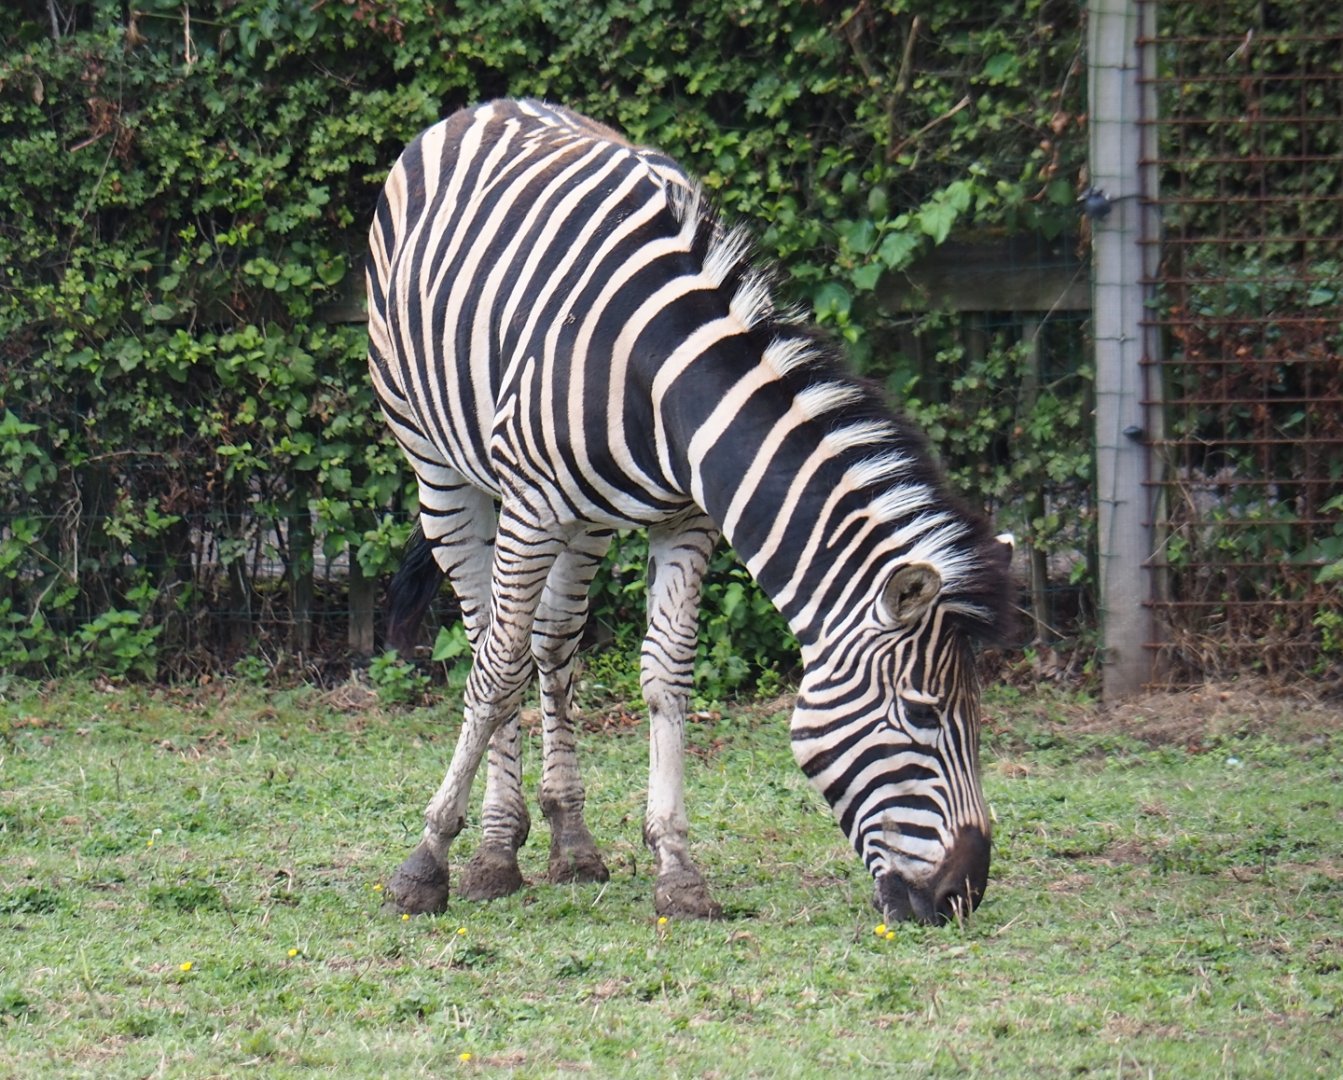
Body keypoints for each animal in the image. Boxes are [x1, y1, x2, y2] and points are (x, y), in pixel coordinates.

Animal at [366, 98, 1014, 924]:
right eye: (925, 713)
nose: (964, 894)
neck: (662, 376)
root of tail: (492, 105)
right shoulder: (533, 506)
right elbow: (493, 673)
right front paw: (427, 860)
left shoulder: (686, 521)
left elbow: (666, 672)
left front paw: (676, 865)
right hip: (441, 468)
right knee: (491, 640)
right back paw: (494, 847)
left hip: (585, 521)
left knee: (553, 642)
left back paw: (569, 840)